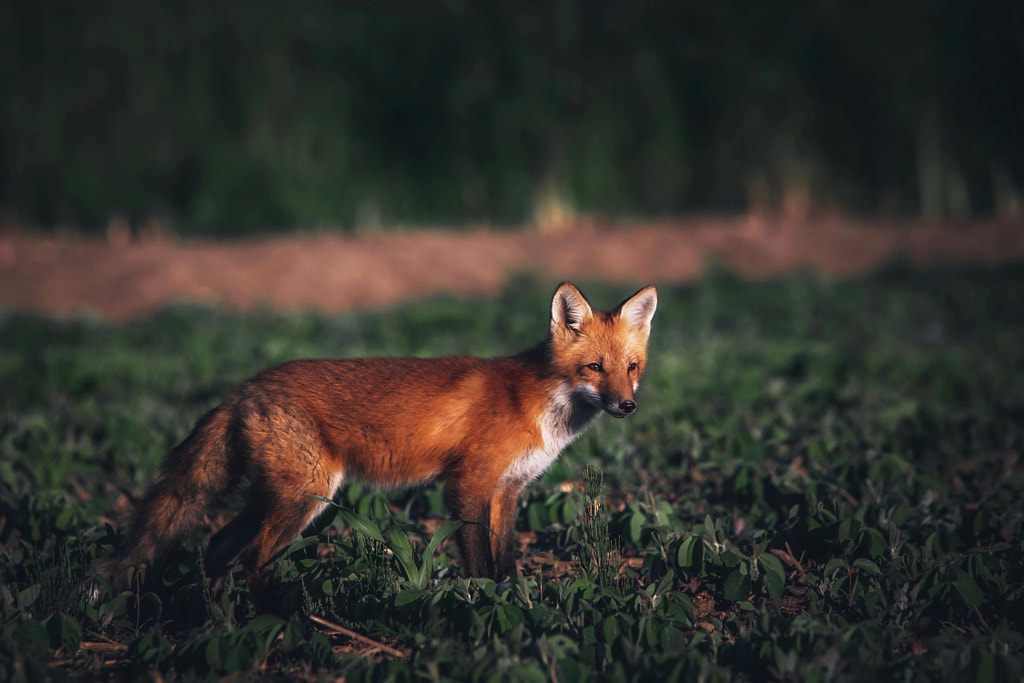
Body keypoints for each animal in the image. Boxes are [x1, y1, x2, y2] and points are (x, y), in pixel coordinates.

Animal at [96, 282, 655, 598]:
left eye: (631, 368)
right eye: (594, 368)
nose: (627, 406)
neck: (537, 403)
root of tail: (245, 385)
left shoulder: (508, 490)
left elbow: (506, 560)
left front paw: (510, 599)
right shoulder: (468, 483)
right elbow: (478, 560)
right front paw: (483, 605)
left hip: (280, 495)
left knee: (218, 544)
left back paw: (217, 619)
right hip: (306, 495)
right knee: (254, 557)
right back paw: (278, 619)